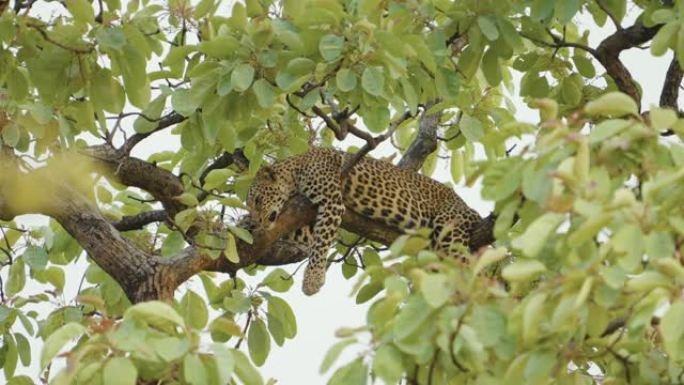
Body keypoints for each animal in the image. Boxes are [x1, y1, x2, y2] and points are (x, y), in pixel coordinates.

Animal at [247, 146, 480, 294]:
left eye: (257, 200)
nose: (256, 224)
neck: (296, 168)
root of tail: (469, 208)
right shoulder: (305, 219)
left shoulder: (331, 202)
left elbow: (320, 245)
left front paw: (312, 280)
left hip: (449, 228)